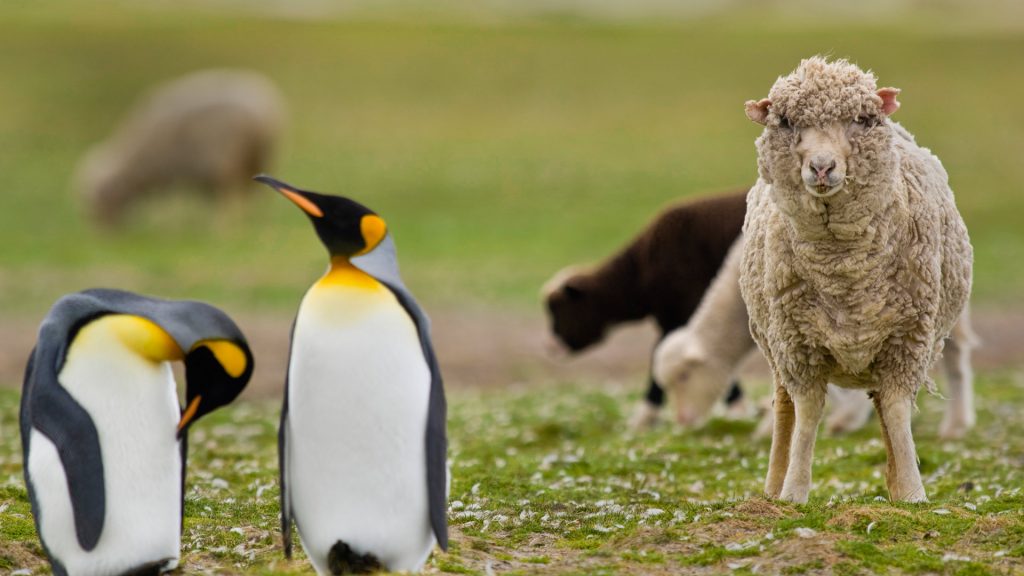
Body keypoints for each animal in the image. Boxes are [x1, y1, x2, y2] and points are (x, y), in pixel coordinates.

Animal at [74, 69, 286, 226]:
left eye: (100, 200)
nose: (103, 235)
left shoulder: (171, 171)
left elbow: (169, 203)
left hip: (227, 161)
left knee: (230, 197)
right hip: (252, 157)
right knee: (248, 195)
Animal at [540, 189, 749, 426]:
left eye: (559, 308)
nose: (549, 346)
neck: (640, 277)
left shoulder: (686, 315)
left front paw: (641, 420)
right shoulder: (676, 320)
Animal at [741, 56, 970, 500]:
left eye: (863, 120)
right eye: (785, 121)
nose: (822, 166)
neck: (843, 273)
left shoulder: (907, 340)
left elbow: (896, 411)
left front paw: (912, 492)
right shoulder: (798, 346)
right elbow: (807, 413)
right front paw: (794, 491)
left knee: (880, 404)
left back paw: (894, 482)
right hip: (773, 344)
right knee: (783, 407)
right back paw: (773, 487)